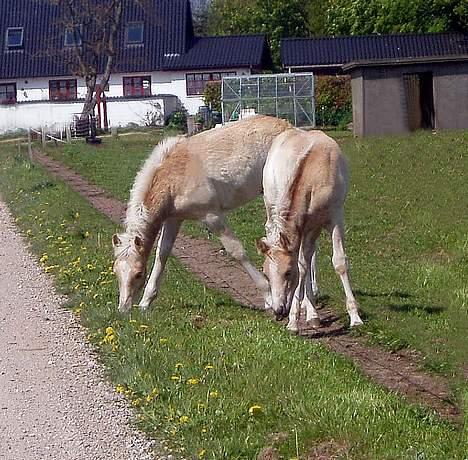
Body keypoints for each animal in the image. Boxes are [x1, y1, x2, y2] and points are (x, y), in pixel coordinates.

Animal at [112, 114, 292, 312]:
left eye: (138, 274)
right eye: (116, 271)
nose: (123, 308)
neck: (173, 179)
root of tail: (287, 126)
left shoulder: (212, 216)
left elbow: (236, 251)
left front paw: (268, 296)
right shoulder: (173, 220)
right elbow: (162, 254)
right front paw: (146, 302)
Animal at [258, 127, 364, 330]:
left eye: (287, 273)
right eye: (265, 274)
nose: (278, 311)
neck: (313, 176)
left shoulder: (334, 217)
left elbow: (337, 262)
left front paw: (355, 318)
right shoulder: (306, 226)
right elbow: (303, 266)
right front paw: (293, 320)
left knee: (308, 257)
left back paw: (312, 313)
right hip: (272, 209)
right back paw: (310, 312)